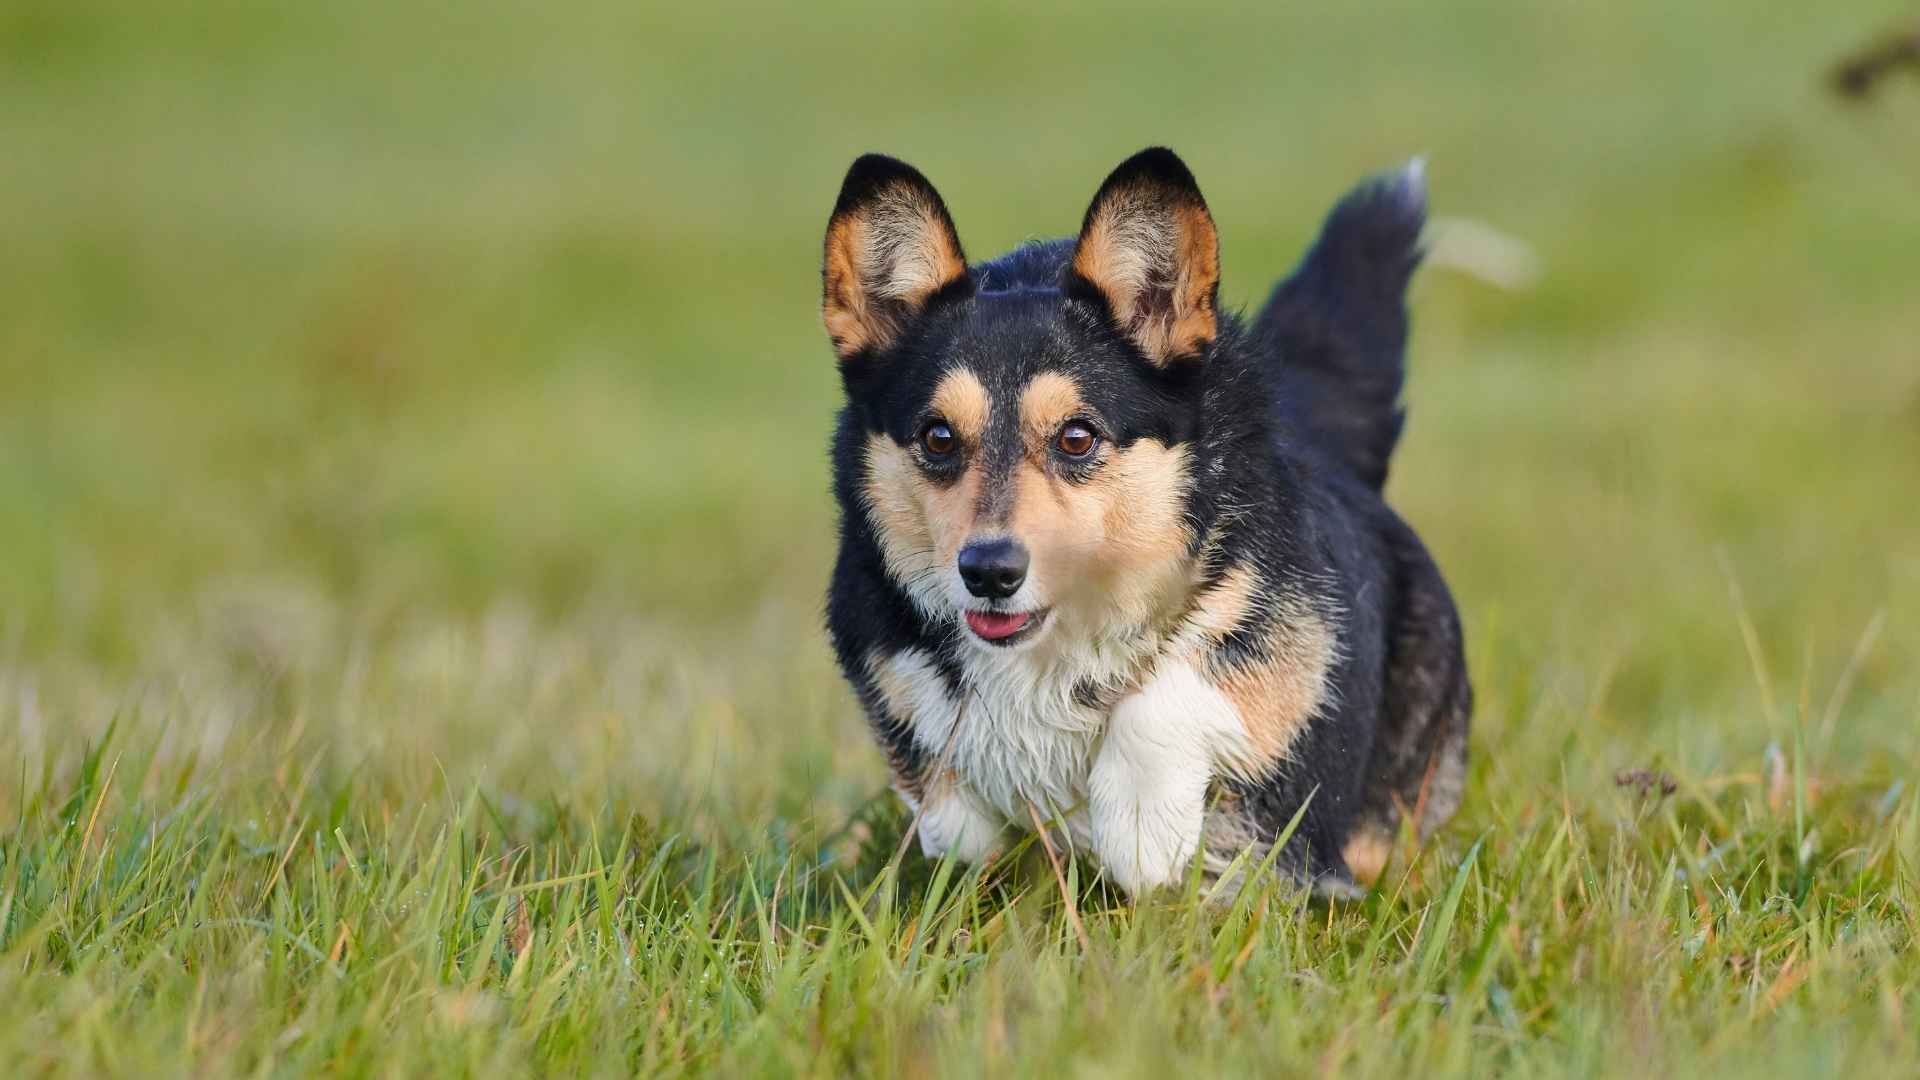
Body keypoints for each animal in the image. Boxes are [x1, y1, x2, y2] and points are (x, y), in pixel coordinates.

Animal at [817, 147, 1459, 895]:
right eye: (938, 437)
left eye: (1076, 437)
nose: (989, 574)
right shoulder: (880, 642)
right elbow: (948, 766)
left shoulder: (1291, 627)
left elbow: (1178, 678)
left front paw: (1141, 829)